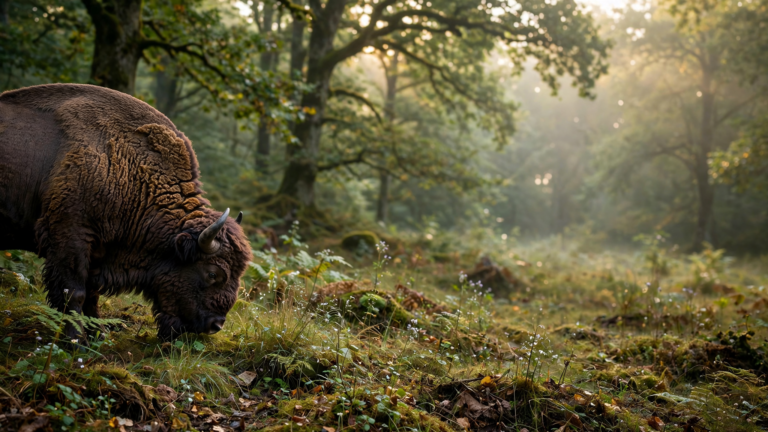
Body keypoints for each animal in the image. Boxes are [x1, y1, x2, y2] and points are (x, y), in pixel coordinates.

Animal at [0, 84, 252, 340]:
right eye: (212, 274)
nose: (215, 325)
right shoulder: (70, 236)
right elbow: (75, 292)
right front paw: (76, 340)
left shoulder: (98, 250)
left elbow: (92, 293)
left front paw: (99, 335)